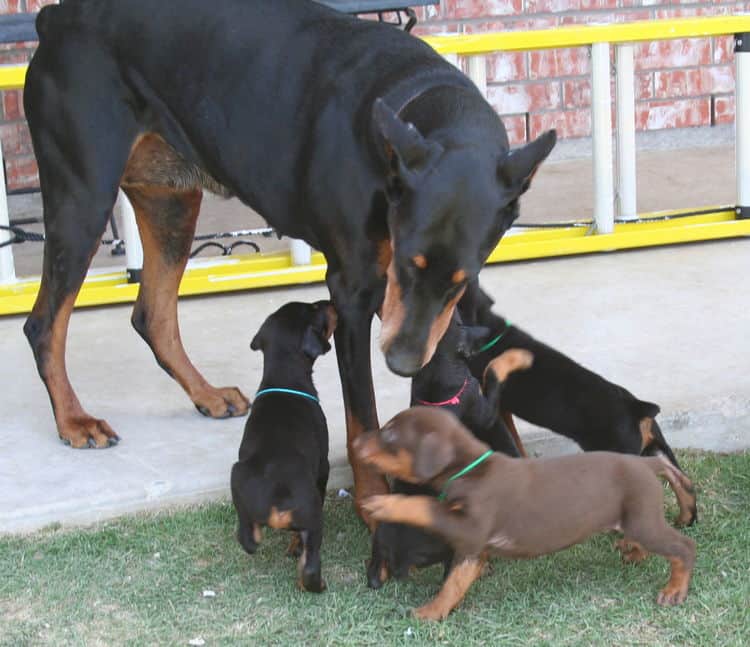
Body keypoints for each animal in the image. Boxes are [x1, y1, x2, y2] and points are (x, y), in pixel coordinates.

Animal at [229, 302, 334, 596]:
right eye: (315, 309)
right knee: (309, 562)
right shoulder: (324, 465)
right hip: (313, 514)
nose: (330, 302)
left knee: (248, 538)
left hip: (237, 476)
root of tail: (278, 494)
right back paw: (314, 581)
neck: (283, 376)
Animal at [358, 394, 700, 624]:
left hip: (645, 520)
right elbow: (454, 583)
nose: (356, 443)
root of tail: (647, 464)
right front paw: (435, 610)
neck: (470, 469)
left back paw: (674, 589)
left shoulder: (469, 527)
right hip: (635, 517)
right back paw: (634, 551)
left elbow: (425, 506)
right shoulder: (472, 548)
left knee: (684, 547)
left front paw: (384, 504)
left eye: (389, 433)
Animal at [368, 316, 524, 588]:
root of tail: (398, 558)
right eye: (460, 327)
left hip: (379, 536)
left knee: (374, 571)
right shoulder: (481, 405)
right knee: (451, 570)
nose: (488, 330)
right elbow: (492, 379)